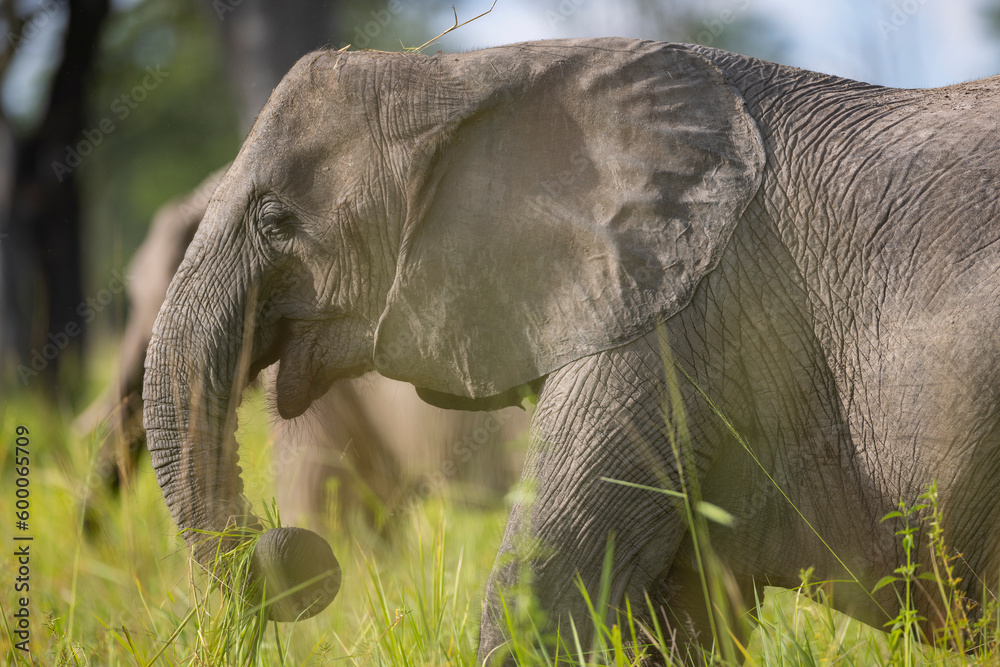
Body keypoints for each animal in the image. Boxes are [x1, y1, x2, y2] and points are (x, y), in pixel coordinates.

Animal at [143, 37, 1000, 664]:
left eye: (276, 219)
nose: (300, 552)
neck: (468, 79)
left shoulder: (671, 320)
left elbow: (543, 589)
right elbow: (671, 621)